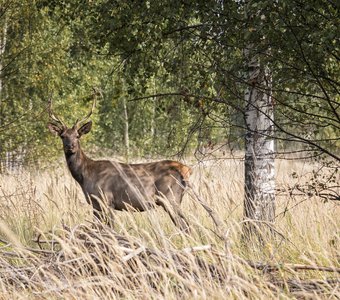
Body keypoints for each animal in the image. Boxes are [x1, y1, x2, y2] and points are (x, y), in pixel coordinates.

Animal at [47, 97, 191, 231]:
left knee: (186, 226)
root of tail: (185, 170)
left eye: (77, 136)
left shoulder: (106, 200)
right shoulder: (96, 204)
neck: (85, 176)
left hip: (171, 198)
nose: (70, 147)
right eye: (63, 136)